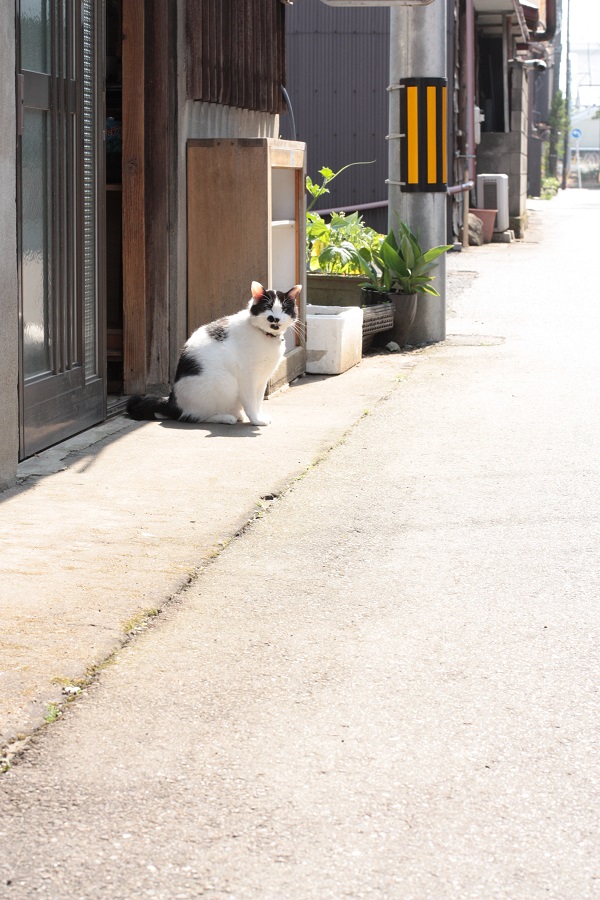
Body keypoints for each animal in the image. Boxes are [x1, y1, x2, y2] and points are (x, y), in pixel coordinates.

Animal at [126, 280, 300, 428]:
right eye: (268, 307)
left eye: (284, 309)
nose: (274, 318)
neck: (265, 336)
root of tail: (171, 401)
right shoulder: (248, 375)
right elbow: (251, 400)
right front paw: (256, 420)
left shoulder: (262, 378)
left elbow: (258, 401)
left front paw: (259, 416)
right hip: (225, 384)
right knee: (192, 416)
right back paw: (226, 418)